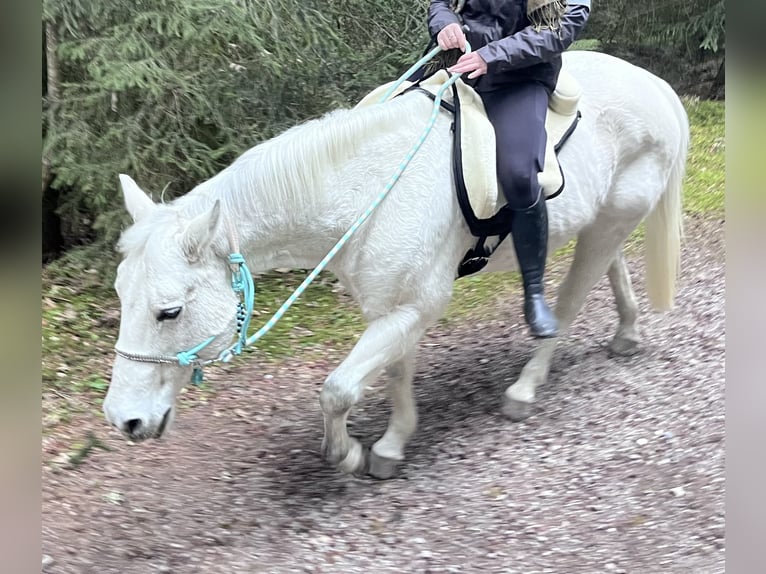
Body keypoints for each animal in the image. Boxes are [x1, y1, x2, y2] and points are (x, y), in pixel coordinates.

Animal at [103, 50, 688, 478]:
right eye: (121, 297)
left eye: (169, 312)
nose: (123, 419)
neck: (363, 187)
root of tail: (656, 86)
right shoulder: (393, 307)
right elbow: (395, 372)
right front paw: (391, 444)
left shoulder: (412, 307)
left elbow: (337, 390)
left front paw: (348, 454)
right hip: (603, 221)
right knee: (609, 266)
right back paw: (628, 332)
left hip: (611, 220)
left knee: (565, 305)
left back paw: (525, 388)